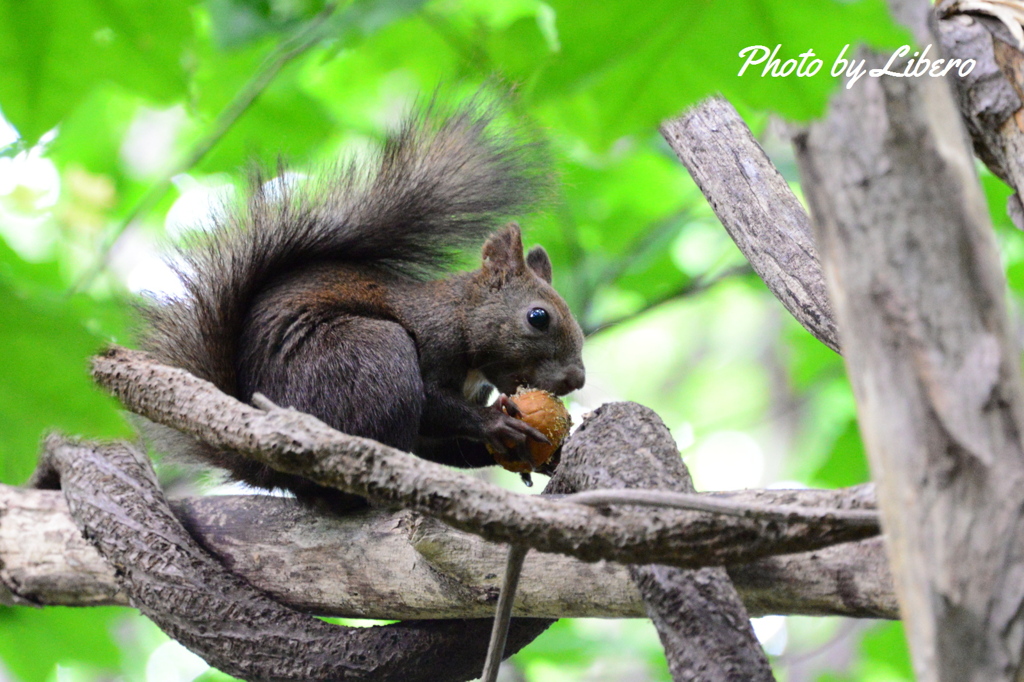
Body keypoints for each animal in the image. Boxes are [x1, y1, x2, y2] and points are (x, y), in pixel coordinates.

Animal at [138, 99, 585, 503]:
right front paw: (495, 423)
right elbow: (434, 403)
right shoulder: (433, 340)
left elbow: (444, 446)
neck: (461, 315)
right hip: (368, 356)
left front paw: (550, 454)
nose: (576, 380)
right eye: (538, 317)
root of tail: (270, 468)